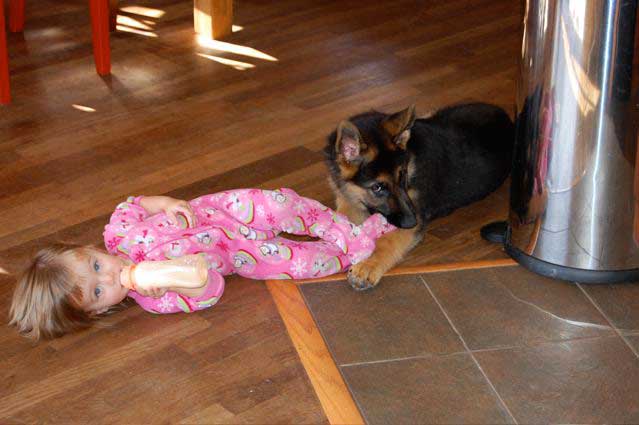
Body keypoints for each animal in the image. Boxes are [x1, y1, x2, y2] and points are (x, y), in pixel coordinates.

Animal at [324, 102, 516, 288]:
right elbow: (342, 217)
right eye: (377, 187)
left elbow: (388, 241)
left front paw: (368, 265)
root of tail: (506, 118)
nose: (411, 222)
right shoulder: (348, 196)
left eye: (402, 176)